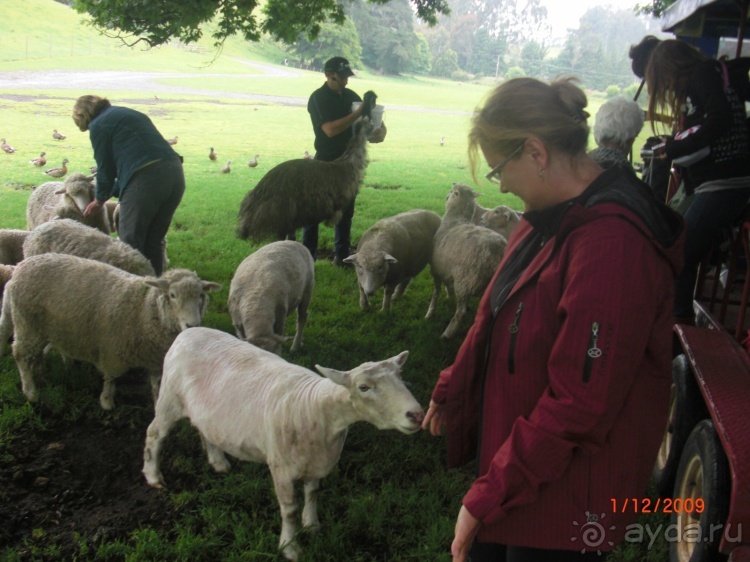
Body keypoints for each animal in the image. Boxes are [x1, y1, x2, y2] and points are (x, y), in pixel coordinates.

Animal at [0, 254, 223, 406]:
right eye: (173, 295)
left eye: (201, 295)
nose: (192, 325)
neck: (143, 308)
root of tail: (19, 267)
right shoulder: (111, 351)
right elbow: (111, 378)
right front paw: (107, 401)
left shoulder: (155, 359)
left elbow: (156, 383)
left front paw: (156, 399)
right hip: (26, 323)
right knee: (20, 354)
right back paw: (30, 391)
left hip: (40, 327)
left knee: (34, 353)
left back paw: (41, 375)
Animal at [141, 326, 424, 556]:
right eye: (363, 387)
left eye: (400, 377)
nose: (417, 415)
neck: (315, 408)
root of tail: (188, 331)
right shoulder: (281, 468)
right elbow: (289, 510)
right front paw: (290, 547)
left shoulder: (316, 461)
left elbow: (312, 493)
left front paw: (312, 525)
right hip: (169, 400)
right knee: (154, 434)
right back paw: (153, 477)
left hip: (205, 412)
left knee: (205, 430)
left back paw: (218, 463)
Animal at [426, 183, 508, 336]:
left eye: (454, 192)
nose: (447, 197)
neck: (455, 219)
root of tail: (499, 253)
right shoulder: (447, 269)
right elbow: (447, 285)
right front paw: (448, 295)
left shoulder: (436, 269)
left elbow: (436, 292)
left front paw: (429, 313)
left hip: (465, 281)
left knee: (461, 311)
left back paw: (447, 333)